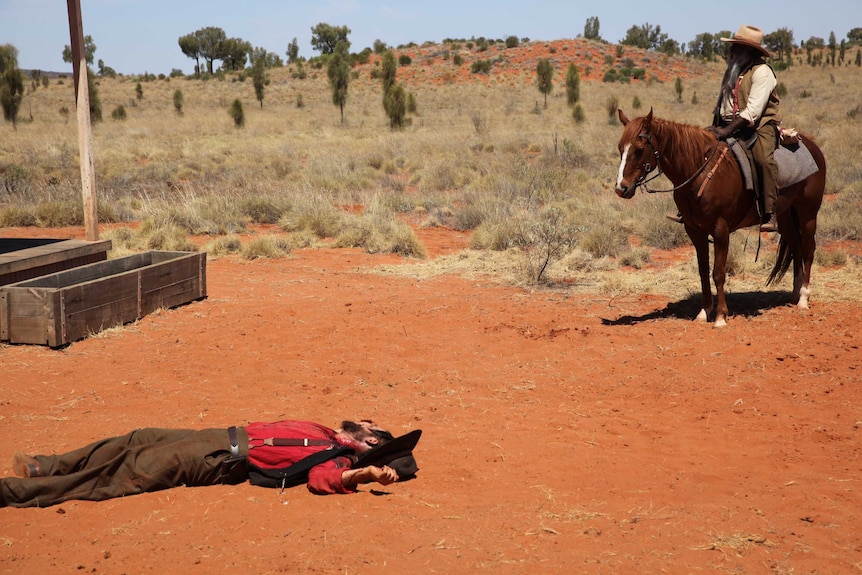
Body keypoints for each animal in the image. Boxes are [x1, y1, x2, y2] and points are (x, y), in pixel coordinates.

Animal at [616, 109, 828, 328]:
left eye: (639, 149)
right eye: (620, 149)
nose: (621, 188)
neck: (700, 172)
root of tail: (813, 147)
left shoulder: (720, 229)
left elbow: (718, 273)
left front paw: (720, 317)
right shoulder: (695, 231)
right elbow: (703, 271)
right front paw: (704, 312)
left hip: (808, 213)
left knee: (808, 250)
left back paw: (803, 298)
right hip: (786, 215)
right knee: (796, 247)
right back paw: (795, 294)